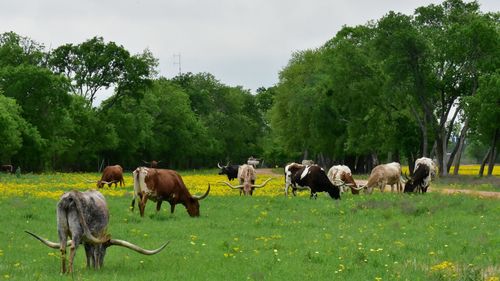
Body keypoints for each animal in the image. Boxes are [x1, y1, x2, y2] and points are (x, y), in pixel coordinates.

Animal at [25, 189, 168, 272]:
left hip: (61, 228)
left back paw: (63, 272)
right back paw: (70, 273)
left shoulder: (87, 240)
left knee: (63, 248)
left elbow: (88, 252)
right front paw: (97, 267)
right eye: (106, 250)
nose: (102, 265)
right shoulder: (98, 236)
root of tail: (72, 195)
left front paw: (90, 267)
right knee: (73, 247)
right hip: (77, 230)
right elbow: (96, 251)